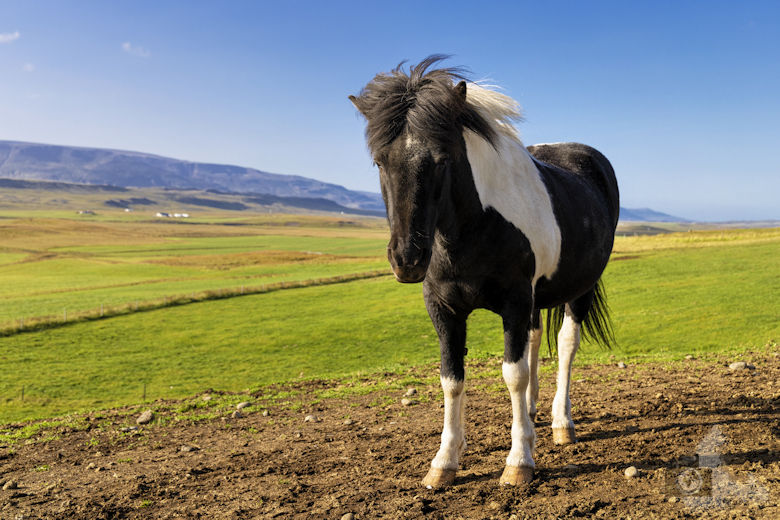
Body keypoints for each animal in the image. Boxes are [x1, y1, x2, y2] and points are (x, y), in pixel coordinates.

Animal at [349, 56, 619, 488]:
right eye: (379, 161)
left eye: (442, 159)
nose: (407, 259)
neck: (472, 228)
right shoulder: (444, 310)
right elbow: (452, 377)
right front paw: (444, 461)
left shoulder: (514, 302)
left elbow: (513, 374)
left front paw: (519, 461)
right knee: (535, 339)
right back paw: (533, 413)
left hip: (580, 289)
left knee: (565, 345)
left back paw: (561, 423)